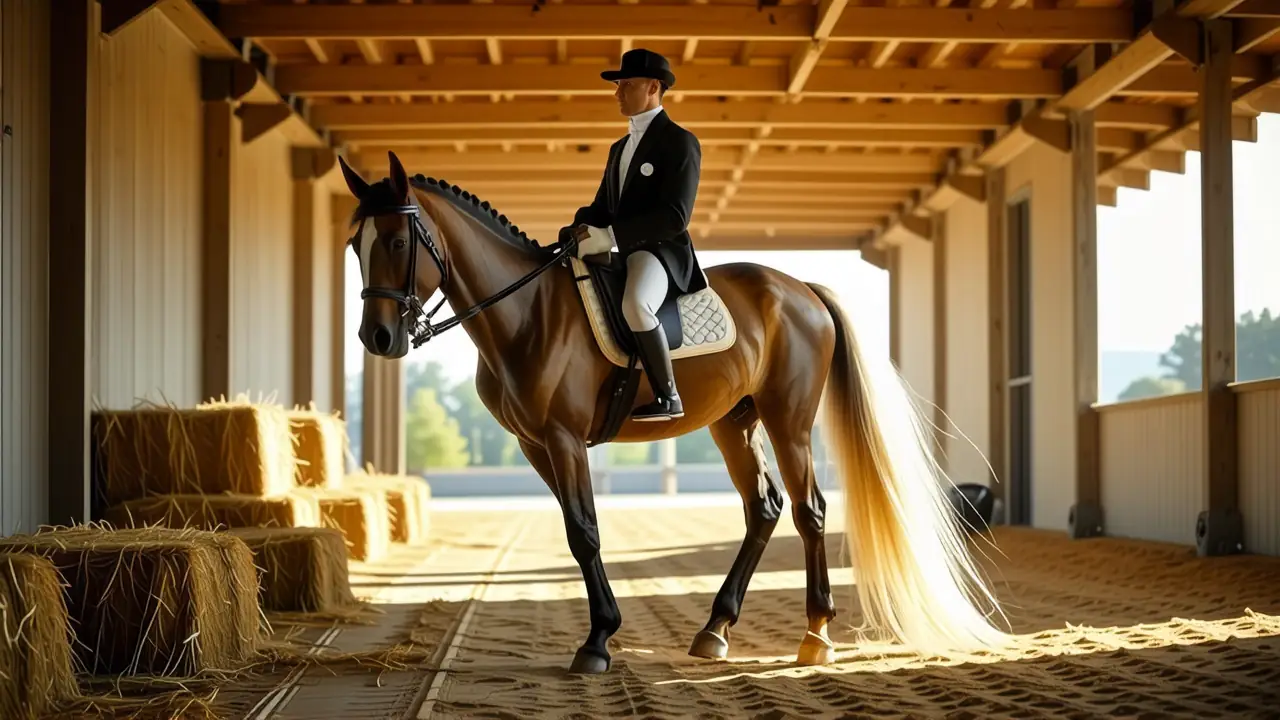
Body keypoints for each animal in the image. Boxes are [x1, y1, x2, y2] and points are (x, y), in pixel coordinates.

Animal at [339, 151, 1010, 675]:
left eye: (396, 242)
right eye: (354, 244)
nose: (377, 338)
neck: (526, 312)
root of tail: (803, 291)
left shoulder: (563, 437)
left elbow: (584, 531)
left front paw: (597, 642)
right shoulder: (535, 443)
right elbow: (575, 530)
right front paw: (602, 634)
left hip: (788, 420)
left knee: (809, 511)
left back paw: (815, 635)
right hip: (733, 422)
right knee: (763, 509)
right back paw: (715, 630)